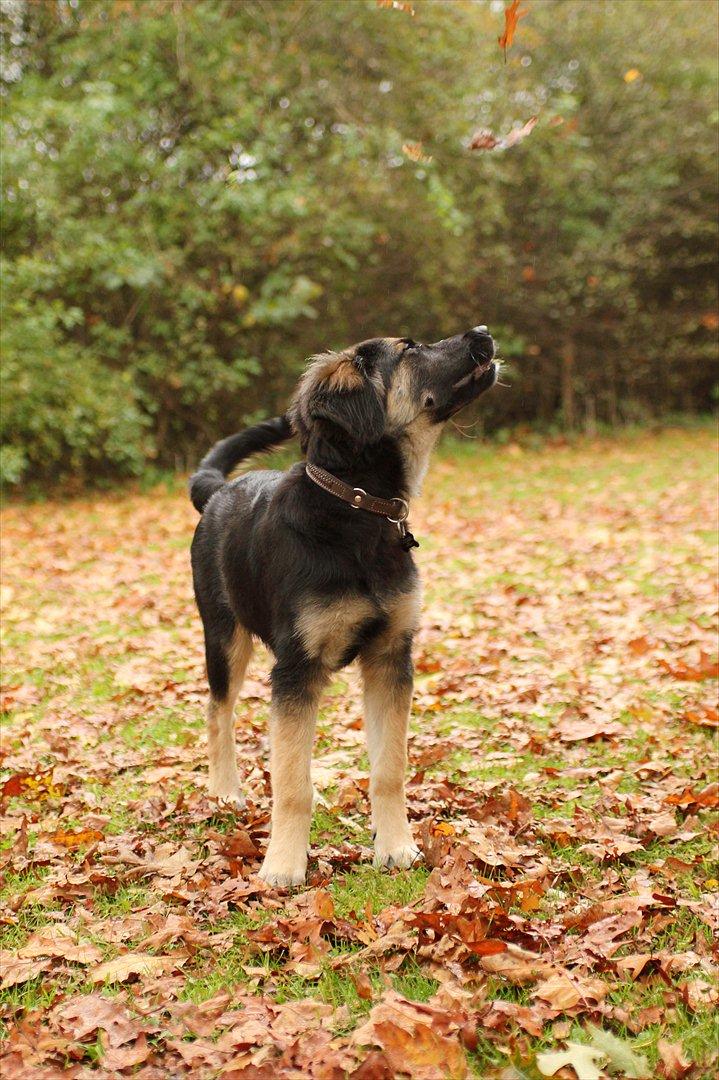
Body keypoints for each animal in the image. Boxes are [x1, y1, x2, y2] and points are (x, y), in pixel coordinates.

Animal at [187, 328, 496, 885]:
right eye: (410, 350)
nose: (484, 334)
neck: (356, 508)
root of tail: (219, 490)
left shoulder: (390, 656)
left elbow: (389, 769)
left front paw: (395, 846)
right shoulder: (296, 669)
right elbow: (292, 784)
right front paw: (284, 864)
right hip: (223, 636)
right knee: (218, 711)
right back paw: (225, 792)